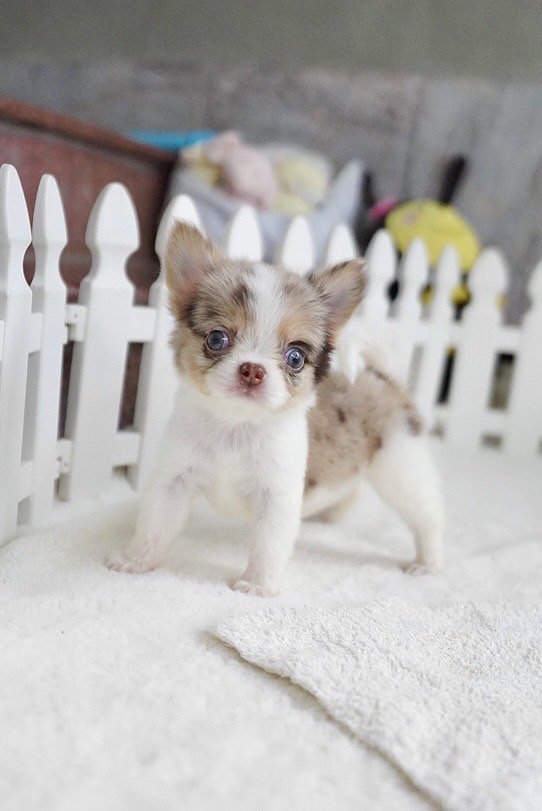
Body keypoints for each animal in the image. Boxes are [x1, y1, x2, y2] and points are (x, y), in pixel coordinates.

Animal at [106, 222, 444, 595]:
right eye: (216, 339)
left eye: (295, 357)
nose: (252, 370)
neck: (236, 427)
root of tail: (380, 376)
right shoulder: (174, 482)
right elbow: (154, 526)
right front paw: (135, 561)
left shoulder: (276, 500)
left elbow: (268, 546)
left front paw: (257, 585)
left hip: (399, 469)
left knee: (427, 518)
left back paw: (427, 562)